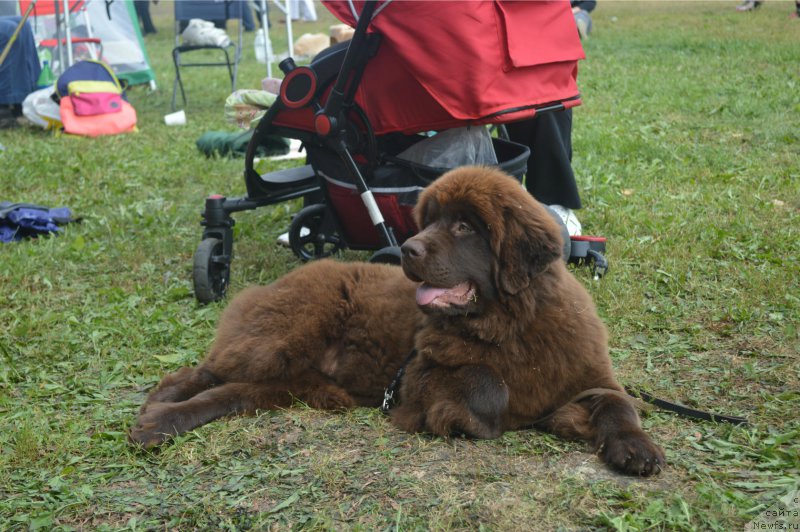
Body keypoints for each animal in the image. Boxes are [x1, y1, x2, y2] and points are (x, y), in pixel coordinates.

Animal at [131, 165, 664, 474]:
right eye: (429, 221)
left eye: (464, 226)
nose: (407, 249)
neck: (509, 326)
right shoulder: (418, 378)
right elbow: (487, 383)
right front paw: (466, 421)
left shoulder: (588, 376)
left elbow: (619, 404)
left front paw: (637, 449)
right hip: (285, 337)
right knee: (205, 371)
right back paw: (159, 410)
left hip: (294, 385)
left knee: (229, 391)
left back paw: (160, 419)